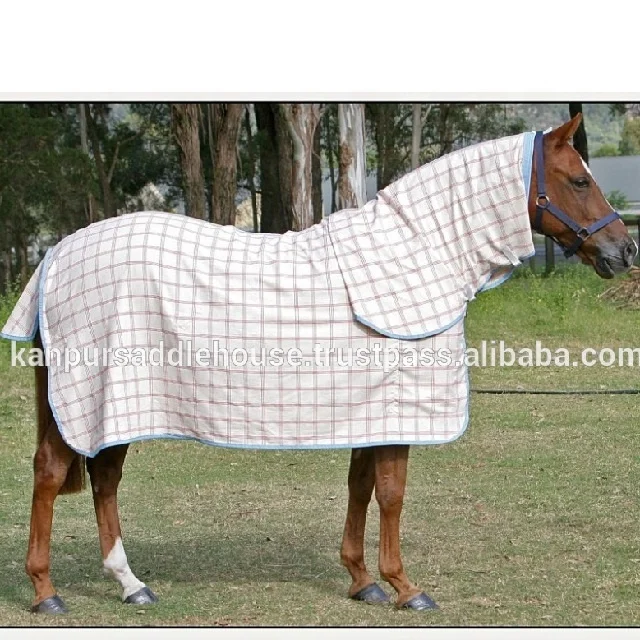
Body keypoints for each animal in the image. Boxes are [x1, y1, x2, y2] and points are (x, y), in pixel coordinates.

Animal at [1, 114, 636, 615]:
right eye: (579, 179)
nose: (624, 251)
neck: (419, 254)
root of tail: (57, 253)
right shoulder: (398, 416)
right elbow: (392, 494)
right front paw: (405, 587)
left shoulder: (372, 412)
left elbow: (361, 487)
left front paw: (362, 581)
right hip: (90, 401)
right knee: (51, 475)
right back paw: (46, 592)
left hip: (115, 404)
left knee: (105, 480)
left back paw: (131, 584)